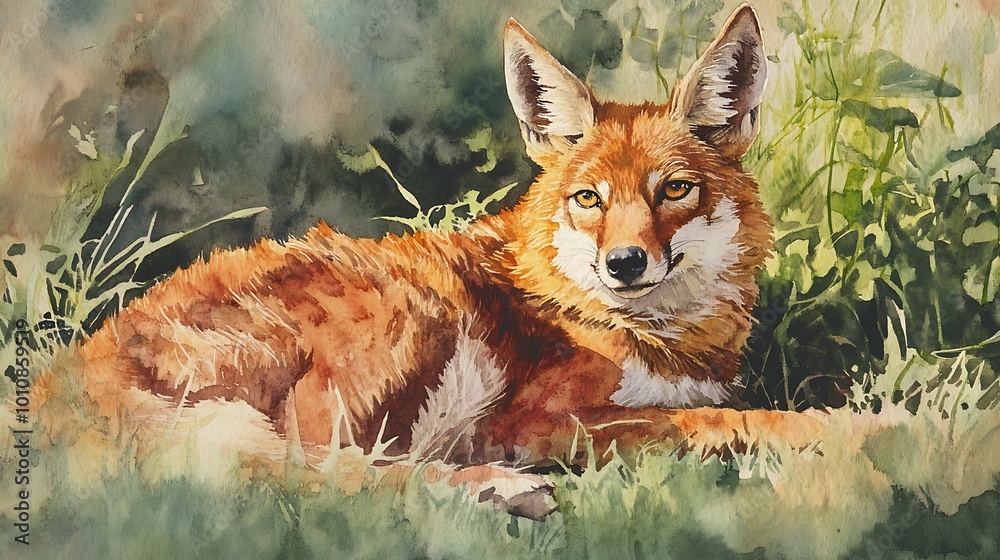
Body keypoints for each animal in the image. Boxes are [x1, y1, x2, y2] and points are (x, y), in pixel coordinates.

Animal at [37, 4, 822, 491]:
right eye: (589, 200)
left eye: (675, 191)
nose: (624, 264)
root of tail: (67, 371)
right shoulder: (532, 422)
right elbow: (724, 420)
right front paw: (845, 431)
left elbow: (717, 414)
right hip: (411, 316)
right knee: (317, 479)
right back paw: (501, 491)